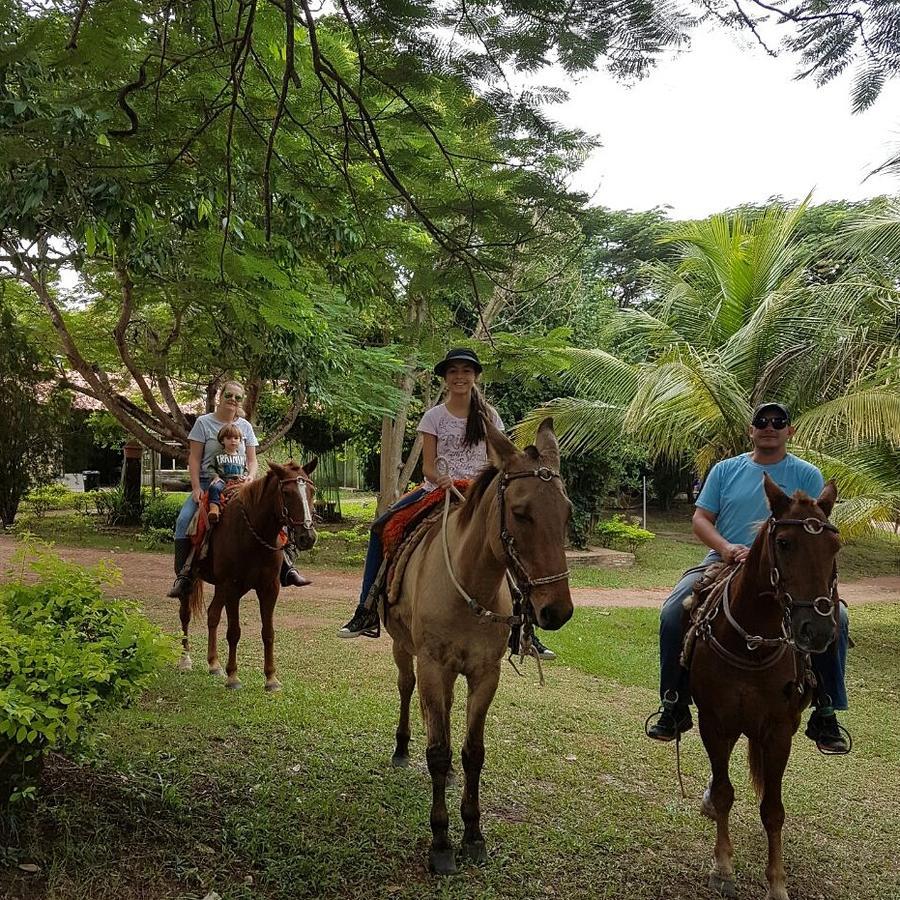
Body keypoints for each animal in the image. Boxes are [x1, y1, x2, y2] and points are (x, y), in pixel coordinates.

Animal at [176, 460, 316, 692]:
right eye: (286, 492)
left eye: (312, 491)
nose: (308, 537)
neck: (252, 533)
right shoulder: (232, 586)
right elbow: (234, 632)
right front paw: (233, 677)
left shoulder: (269, 588)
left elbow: (268, 632)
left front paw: (271, 679)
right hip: (195, 582)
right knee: (185, 614)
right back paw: (185, 659)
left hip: (221, 587)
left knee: (213, 614)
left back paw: (214, 664)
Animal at [384, 418, 572, 876]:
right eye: (520, 513)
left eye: (567, 512)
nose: (557, 611)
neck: (470, 586)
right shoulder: (433, 666)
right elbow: (437, 751)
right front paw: (441, 842)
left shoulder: (485, 673)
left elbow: (473, 752)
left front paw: (473, 834)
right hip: (404, 650)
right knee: (405, 688)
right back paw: (401, 749)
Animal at [688, 474, 844, 896]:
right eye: (785, 543)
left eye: (835, 547)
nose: (818, 630)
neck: (752, 644)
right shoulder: (714, 722)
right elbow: (725, 793)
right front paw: (723, 868)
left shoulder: (778, 731)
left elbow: (773, 810)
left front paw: (776, 882)